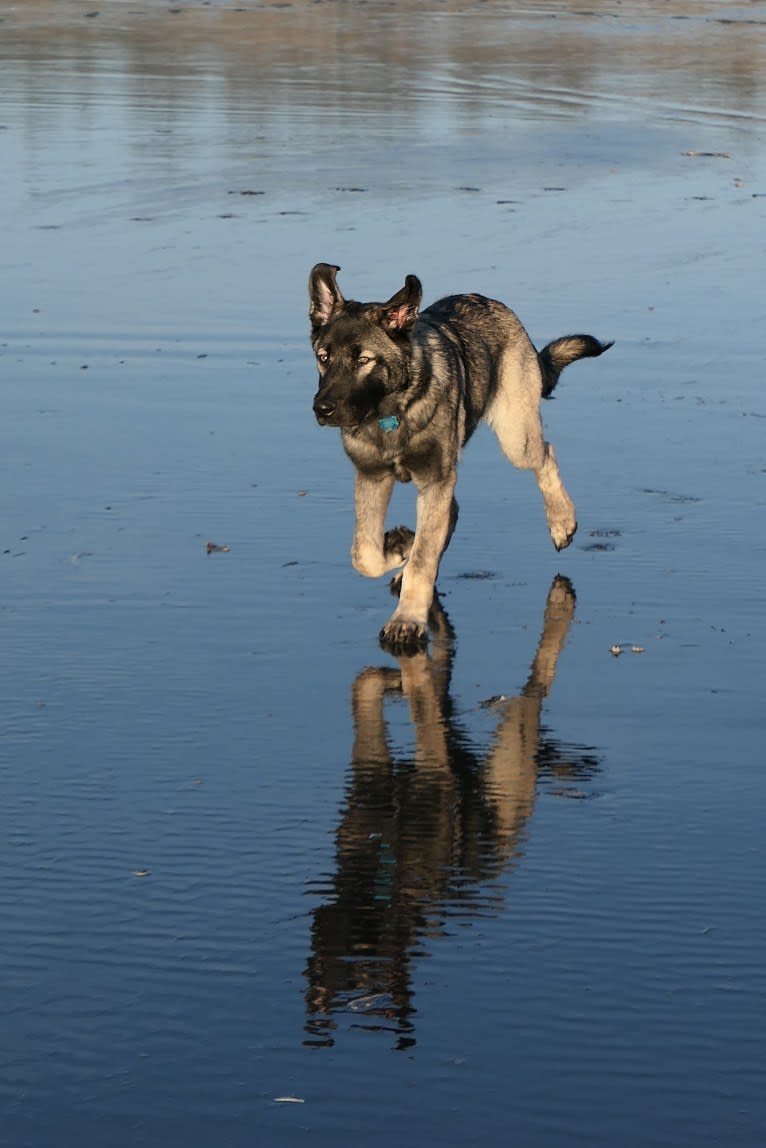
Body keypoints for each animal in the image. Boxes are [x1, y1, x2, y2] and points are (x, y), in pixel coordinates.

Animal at [307, 262, 610, 652]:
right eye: (323, 357)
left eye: (363, 360)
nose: (322, 409)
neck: (392, 411)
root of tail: (493, 302)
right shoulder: (373, 477)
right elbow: (366, 554)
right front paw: (399, 548)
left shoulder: (435, 479)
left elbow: (422, 557)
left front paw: (407, 619)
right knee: (450, 513)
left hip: (515, 437)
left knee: (545, 456)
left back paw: (561, 521)